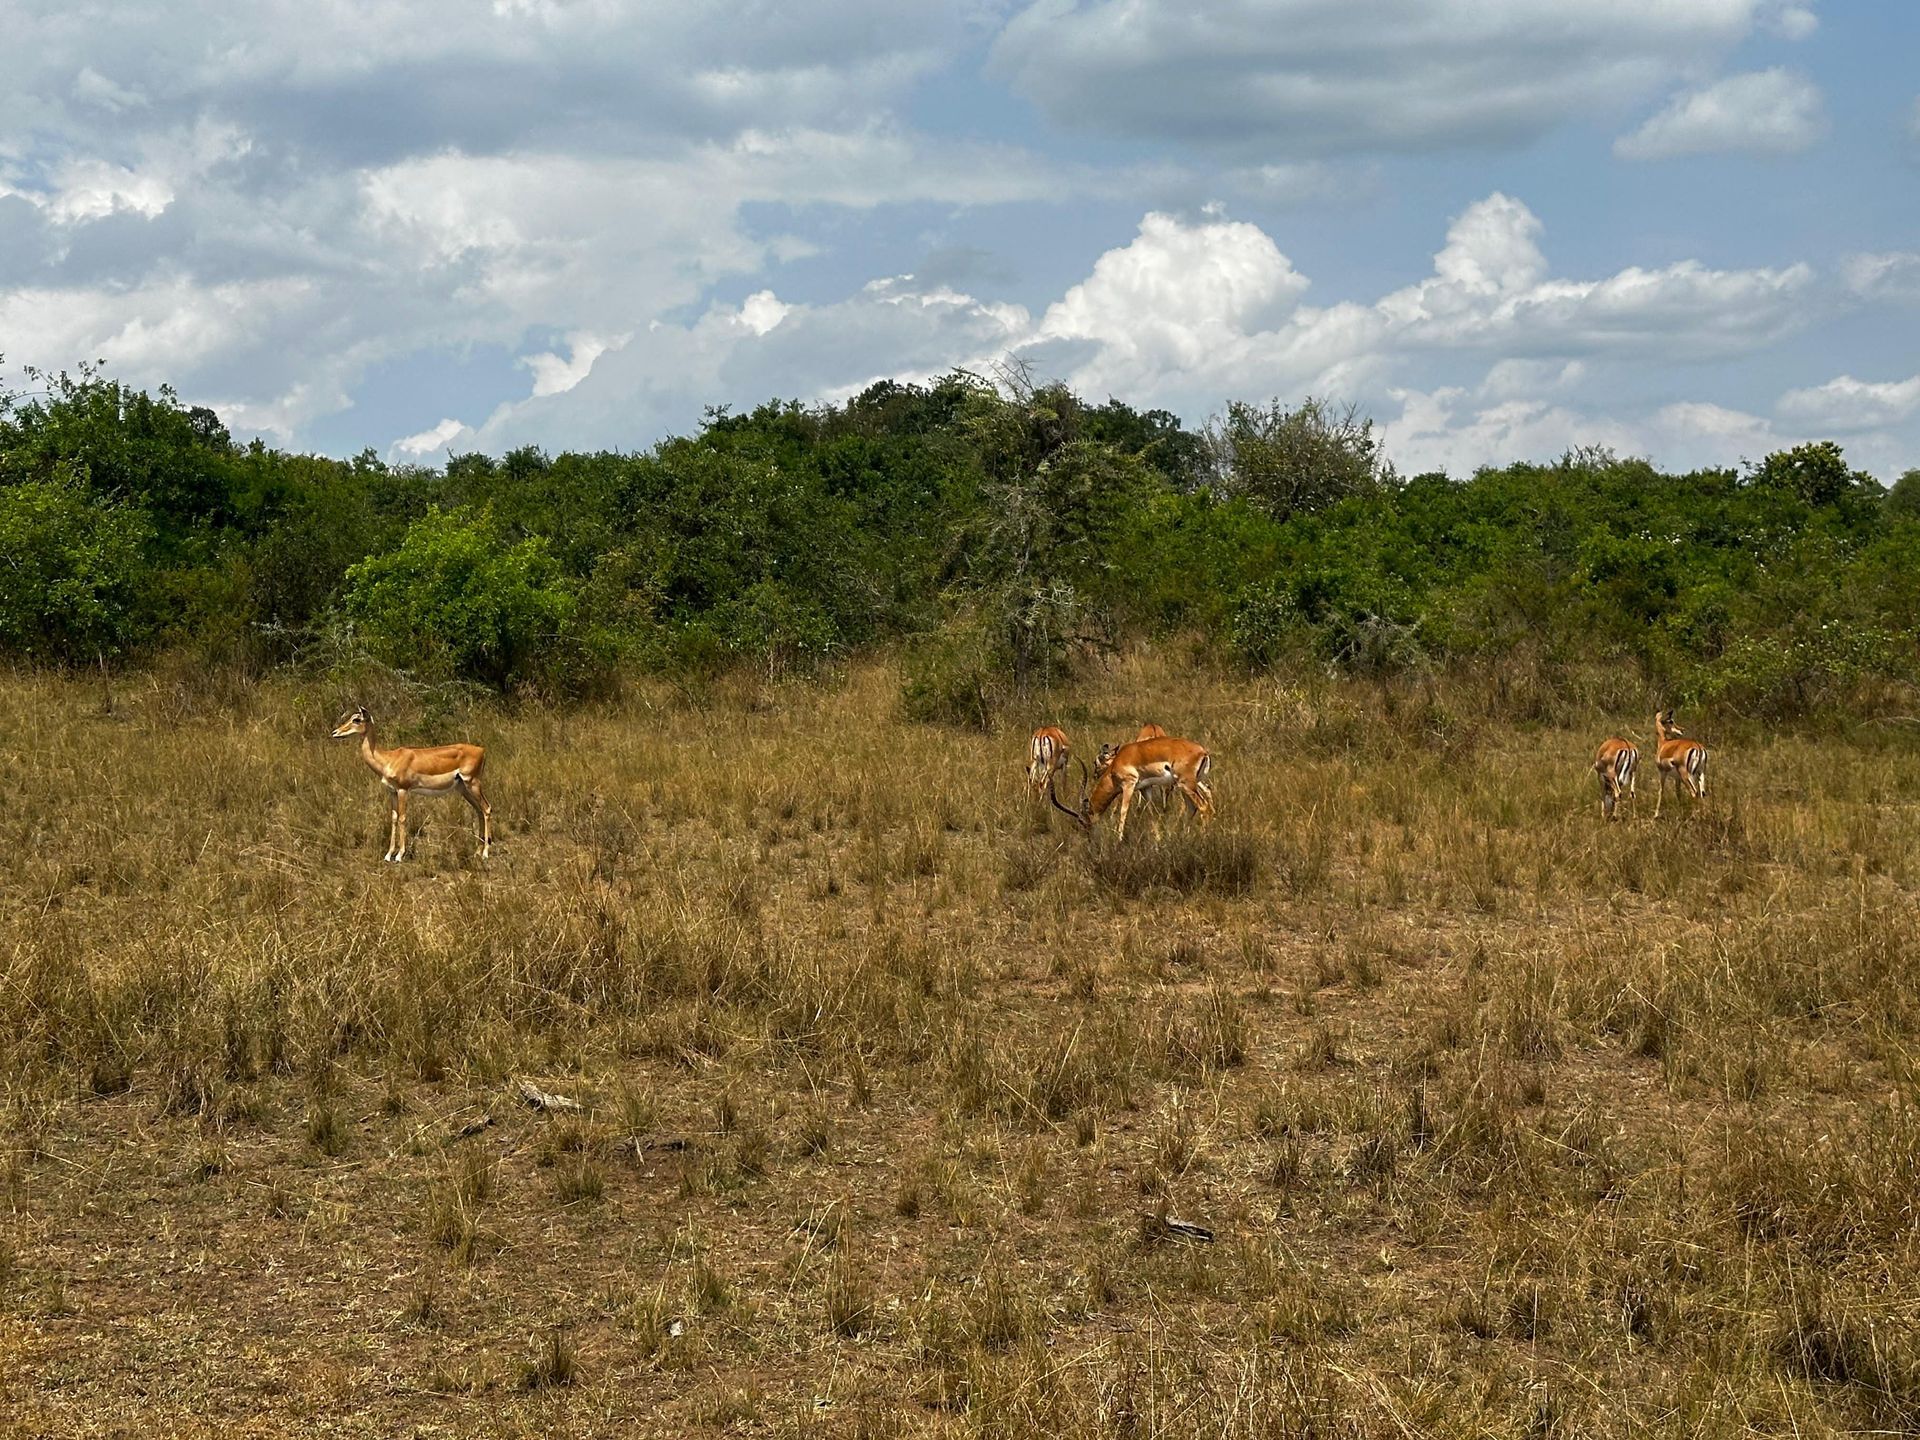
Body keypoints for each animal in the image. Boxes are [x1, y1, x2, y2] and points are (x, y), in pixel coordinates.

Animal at [330, 705, 492, 862]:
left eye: (357, 719)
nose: (335, 732)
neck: (388, 759)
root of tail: (482, 750)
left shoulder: (403, 790)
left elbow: (402, 818)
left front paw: (399, 855)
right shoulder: (392, 791)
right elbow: (394, 818)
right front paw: (388, 855)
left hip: (473, 783)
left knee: (487, 808)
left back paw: (485, 853)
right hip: (463, 788)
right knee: (479, 811)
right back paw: (477, 852)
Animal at [1050, 733, 1213, 841]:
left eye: (1082, 821)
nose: (1089, 837)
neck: (1117, 763)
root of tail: (1203, 752)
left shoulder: (1128, 785)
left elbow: (1123, 811)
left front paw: (1118, 839)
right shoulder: (1145, 788)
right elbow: (1150, 811)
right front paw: (1158, 840)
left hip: (1186, 785)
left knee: (1204, 807)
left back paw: (1203, 839)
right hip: (1186, 786)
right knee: (1193, 808)